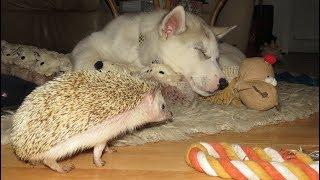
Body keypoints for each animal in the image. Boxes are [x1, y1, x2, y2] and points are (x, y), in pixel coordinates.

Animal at [71, 5, 235, 95]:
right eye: (201, 51)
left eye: (217, 58)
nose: (224, 84)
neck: (139, 48)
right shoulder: (88, 42)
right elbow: (87, 59)